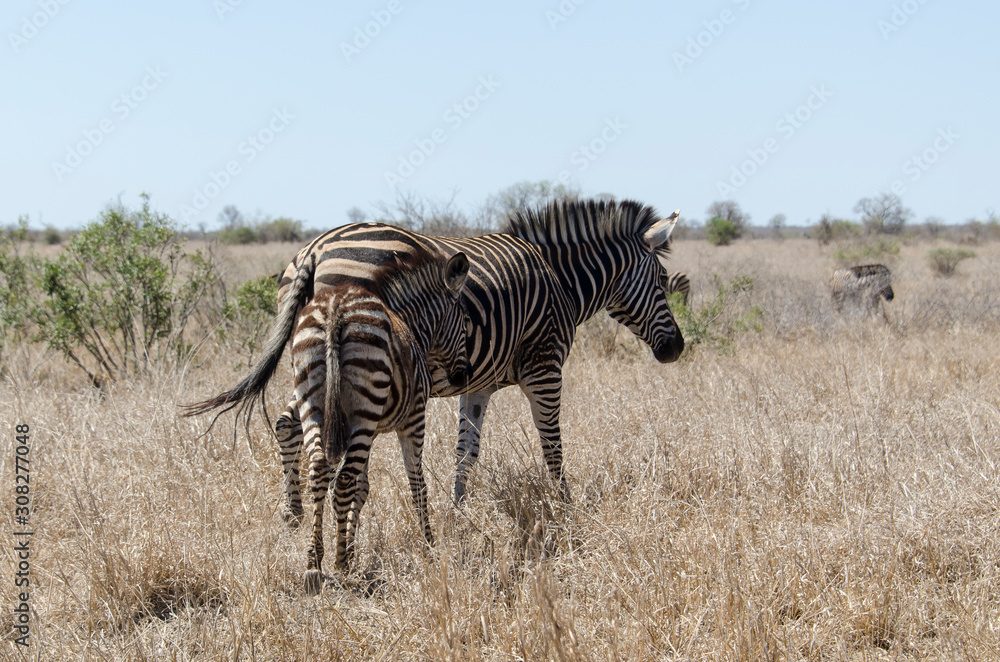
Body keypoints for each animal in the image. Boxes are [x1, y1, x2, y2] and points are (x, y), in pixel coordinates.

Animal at [185, 247, 472, 593]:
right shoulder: (412, 418)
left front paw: (352, 543)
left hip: (313, 398)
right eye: (465, 321)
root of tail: (335, 309)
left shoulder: (367, 430)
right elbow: (415, 484)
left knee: (319, 468)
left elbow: (362, 488)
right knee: (343, 478)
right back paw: (338, 561)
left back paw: (314, 561)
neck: (411, 324)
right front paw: (428, 545)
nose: (463, 376)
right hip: (363, 407)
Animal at [269, 199, 684, 505]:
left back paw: (293, 516)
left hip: (314, 370)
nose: (676, 348)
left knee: (288, 424)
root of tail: (314, 249)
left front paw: (458, 511)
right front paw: (565, 507)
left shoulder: (478, 382)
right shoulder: (545, 367)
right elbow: (552, 445)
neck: (560, 280)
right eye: (663, 281)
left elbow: (466, 452)